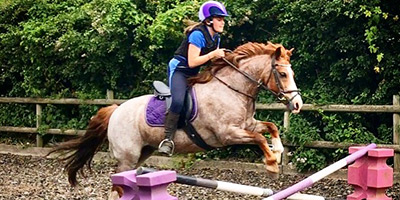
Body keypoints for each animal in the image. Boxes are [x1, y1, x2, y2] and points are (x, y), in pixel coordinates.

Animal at [47, 41, 304, 191]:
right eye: (283, 74)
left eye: (292, 73)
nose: (297, 104)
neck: (232, 88)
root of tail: (116, 110)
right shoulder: (227, 134)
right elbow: (259, 138)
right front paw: (272, 165)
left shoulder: (247, 124)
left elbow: (270, 127)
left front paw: (278, 151)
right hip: (127, 157)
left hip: (143, 153)